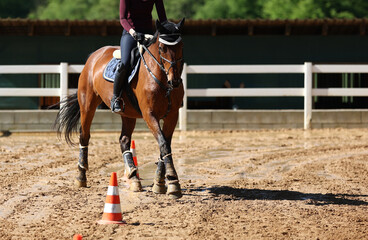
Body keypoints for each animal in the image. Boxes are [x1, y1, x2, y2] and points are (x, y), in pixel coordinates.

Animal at [54, 19, 187, 199]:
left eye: (181, 46)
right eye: (162, 48)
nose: (175, 81)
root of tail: (95, 55)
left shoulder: (172, 115)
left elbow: (164, 145)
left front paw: (159, 184)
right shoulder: (149, 115)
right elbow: (164, 144)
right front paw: (173, 183)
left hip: (127, 114)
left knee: (124, 140)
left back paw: (134, 178)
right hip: (87, 106)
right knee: (84, 136)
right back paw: (81, 176)